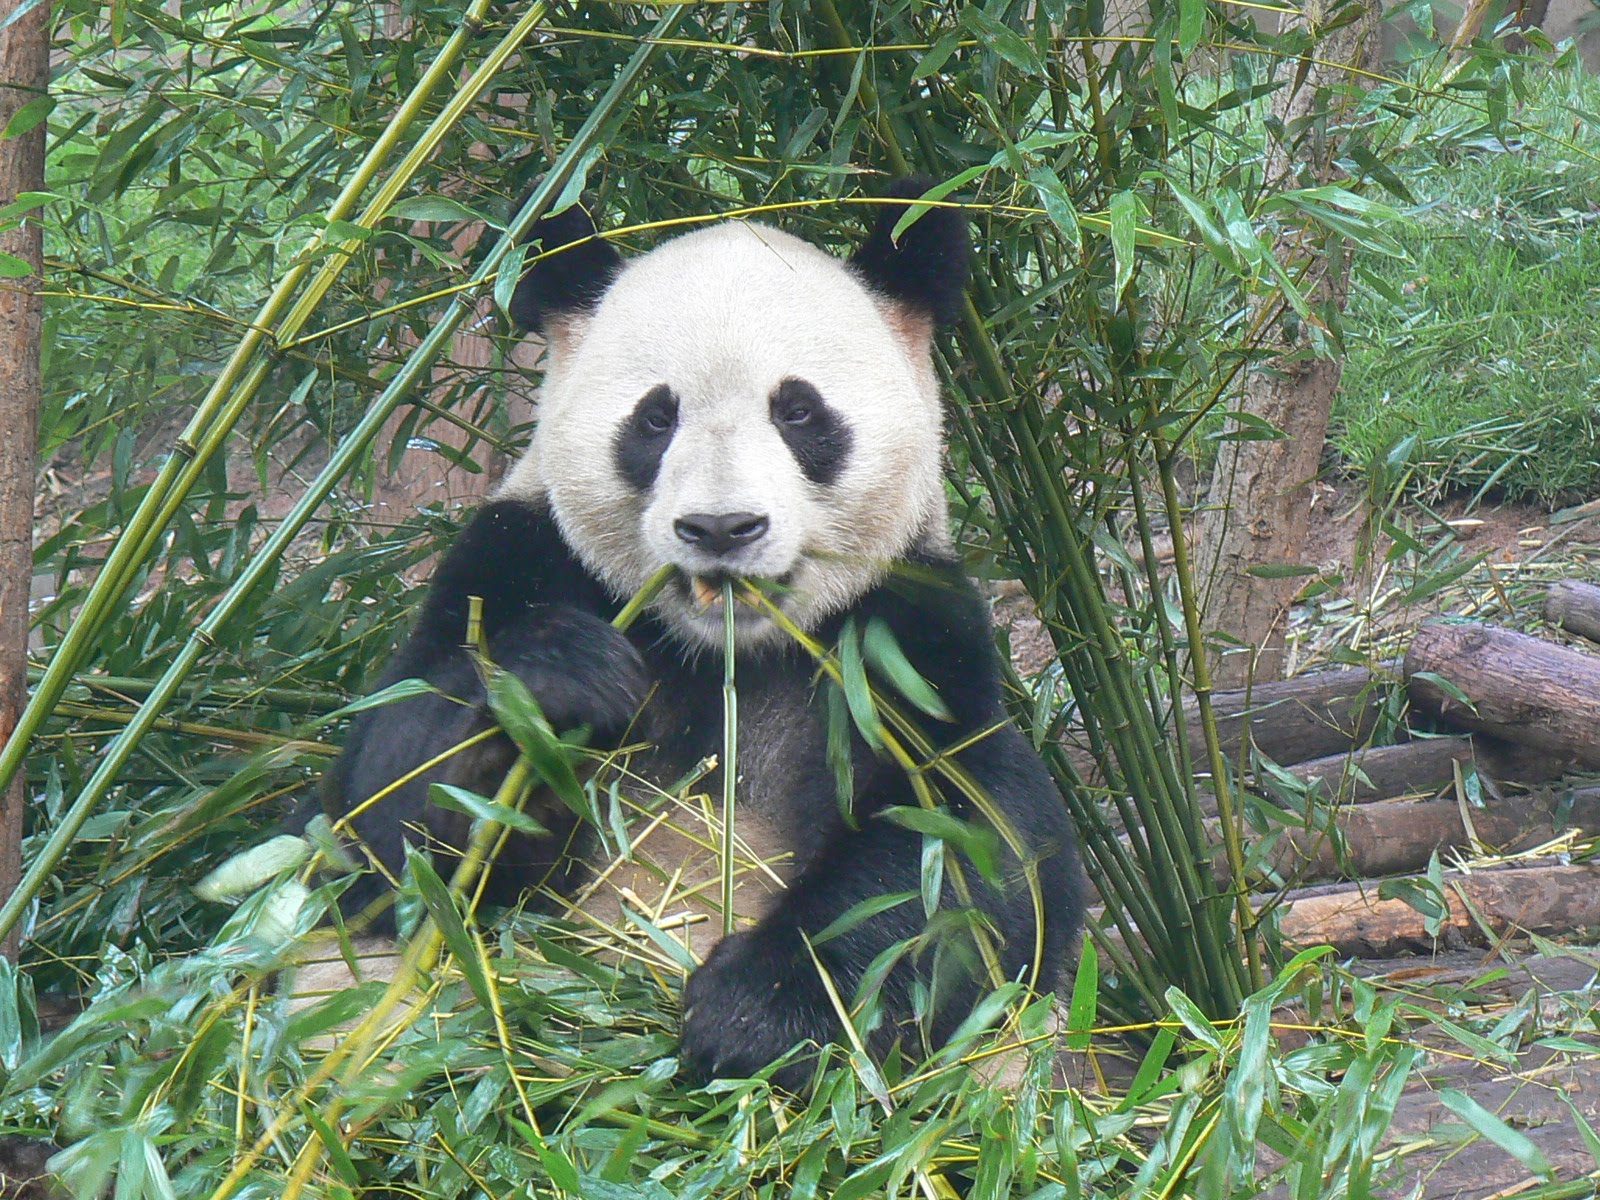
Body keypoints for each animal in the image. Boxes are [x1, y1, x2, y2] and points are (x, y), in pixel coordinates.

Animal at [315, 181, 1084, 1089]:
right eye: (655, 419)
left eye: (798, 410)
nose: (722, 527)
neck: (723, 652)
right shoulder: (514, 560)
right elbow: (381, 829)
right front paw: (560, 678)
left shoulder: (905, 635)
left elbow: (973, 852)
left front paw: (751, 1014)